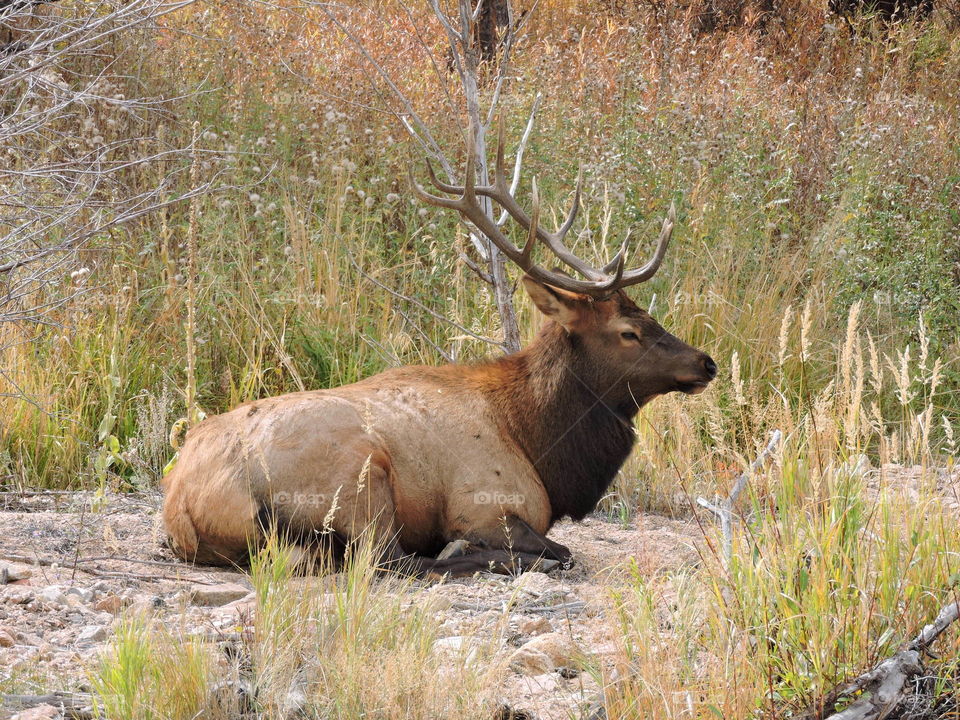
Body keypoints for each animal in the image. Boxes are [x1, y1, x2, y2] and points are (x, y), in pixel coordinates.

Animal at [161, 124, 718, 577]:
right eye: (628, 331)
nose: (706, 362)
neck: (537, 444)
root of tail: (183, 505)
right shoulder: (481, 503)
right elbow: (559, 549)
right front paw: (479, 549)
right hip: (361, 479)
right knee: (389, 560)